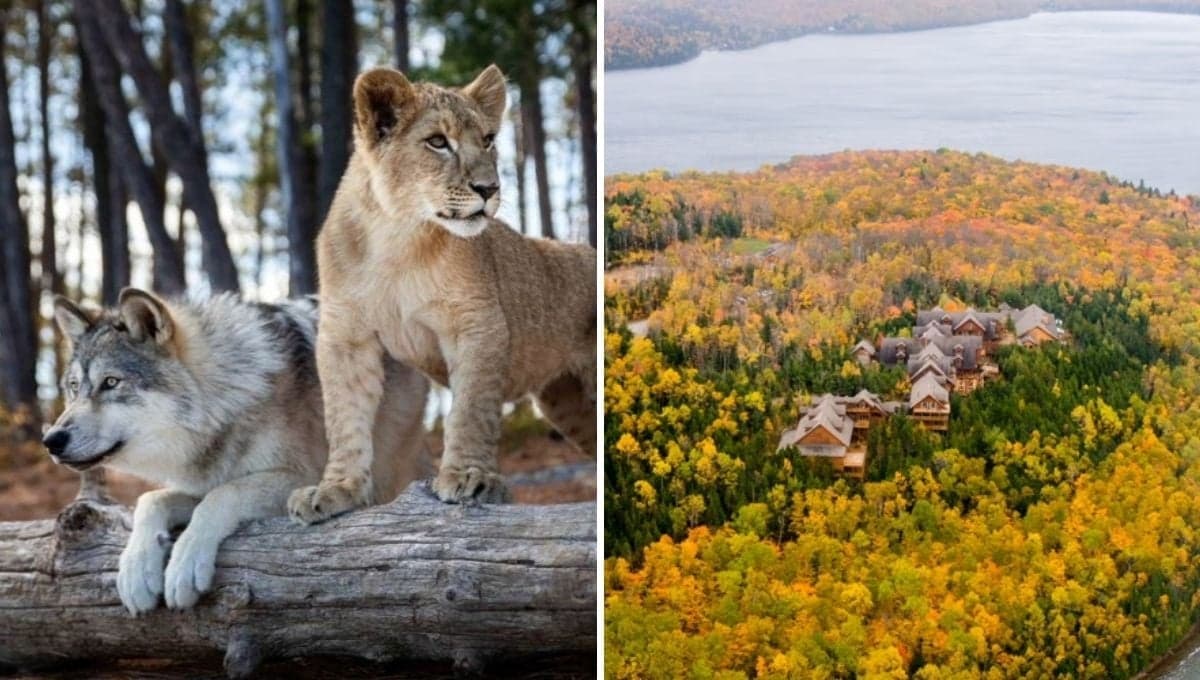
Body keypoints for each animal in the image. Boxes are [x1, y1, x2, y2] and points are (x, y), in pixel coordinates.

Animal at [44, 288, 428, 615]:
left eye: (111, 382)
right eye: (74, 387)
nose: (51, 440)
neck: (225, 398)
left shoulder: (296, 477)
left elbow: (222, 496)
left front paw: (185, 565)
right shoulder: (201, 480)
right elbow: (151, 500)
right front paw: (136, 569)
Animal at [287, 65, 596, 524]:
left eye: (488, 140)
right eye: (437, 142)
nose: (489, 188)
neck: (397, 238)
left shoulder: (476, 323)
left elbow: (469, 411)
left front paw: (470, 478)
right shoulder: (345, 337)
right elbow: (345, 420)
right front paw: (336, 489)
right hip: (570, 404)